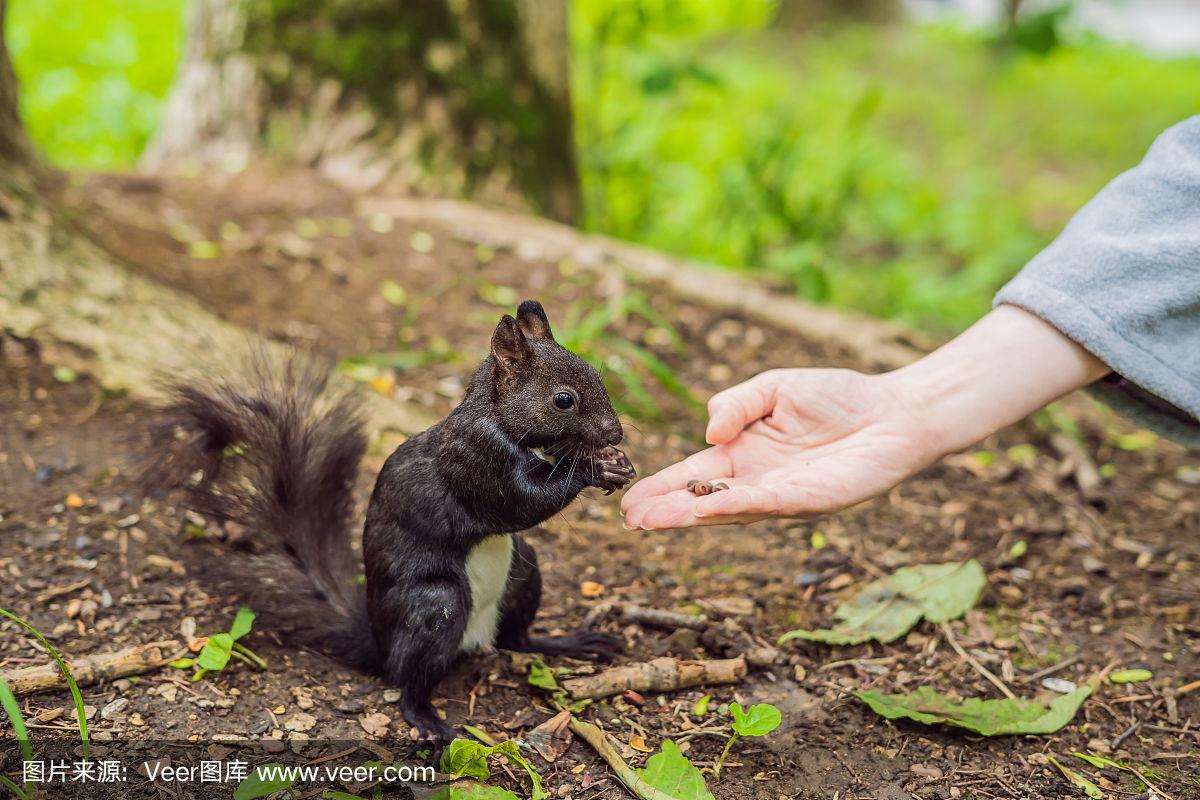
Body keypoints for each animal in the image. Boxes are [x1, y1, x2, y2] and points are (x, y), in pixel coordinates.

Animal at [147, 299, 638, 753]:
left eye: (597, 375)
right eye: (563, 399)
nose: (614, 434)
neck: (497, 416)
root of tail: (381, 644)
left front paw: (613, 461)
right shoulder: (477, 461)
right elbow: (523, 503)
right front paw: (595, 469)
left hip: (524, 571)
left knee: (517, 639)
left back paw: (569, 643)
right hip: (437, 608)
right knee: (411, 680)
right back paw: (427, 721)